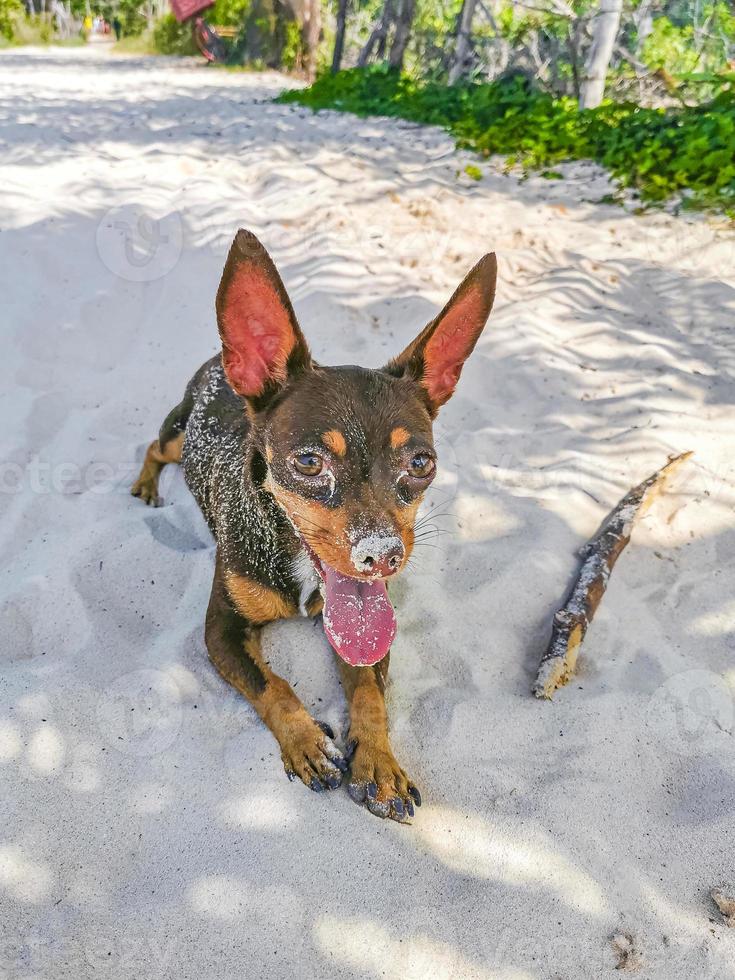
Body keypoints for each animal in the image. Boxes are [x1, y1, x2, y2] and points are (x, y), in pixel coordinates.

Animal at [134, 234, 500, 824]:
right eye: (308, 463)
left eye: (421, 463)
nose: (382, 554)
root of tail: (219, 360)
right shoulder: (220, 631)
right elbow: (272, 684)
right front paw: (307, 742)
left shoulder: (369, 633)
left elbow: (369, 691)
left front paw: (378, 762)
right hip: (176, 432)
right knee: (152, 446)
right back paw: (146, 486)